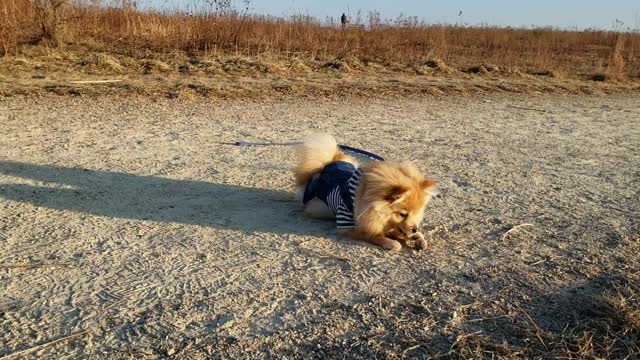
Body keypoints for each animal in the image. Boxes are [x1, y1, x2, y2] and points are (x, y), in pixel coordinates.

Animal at [296, 134, 438, 252]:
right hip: (319, 208)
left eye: (417, 213)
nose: (415, 228)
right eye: (403, 214)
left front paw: (417, 237)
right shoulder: (350, 224)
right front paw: (391, 242)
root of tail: (326, 165)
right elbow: (372, 234)